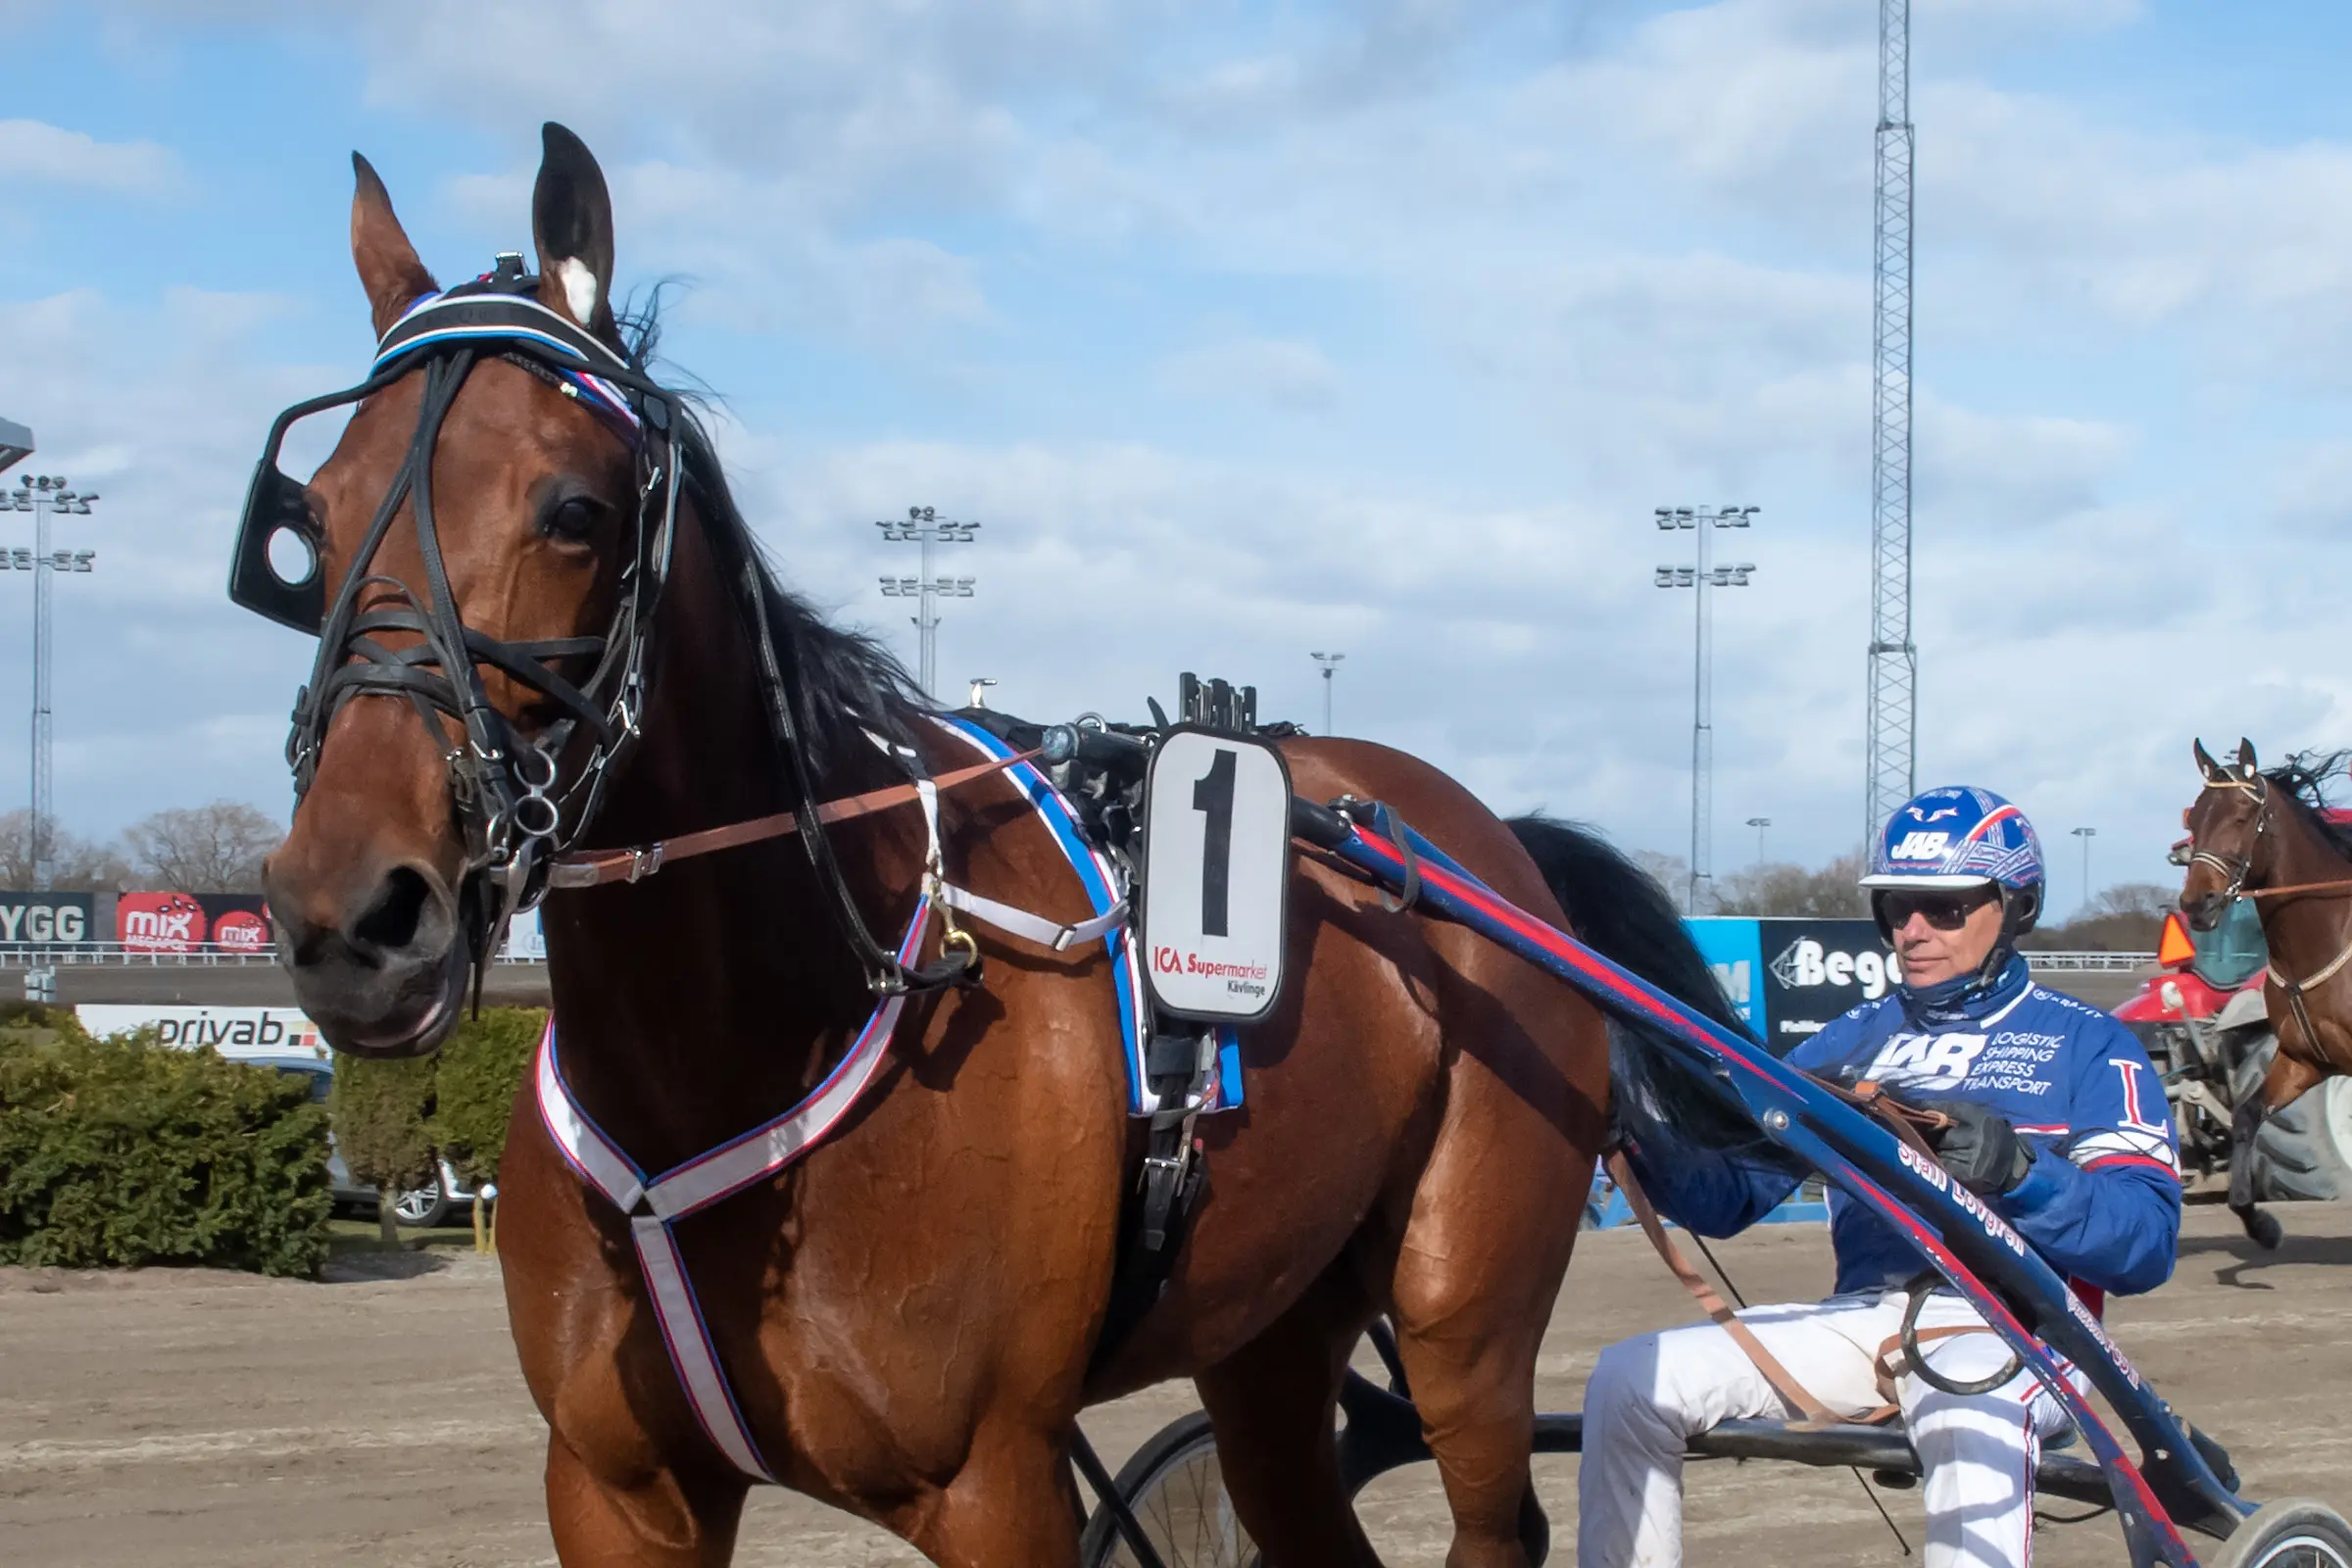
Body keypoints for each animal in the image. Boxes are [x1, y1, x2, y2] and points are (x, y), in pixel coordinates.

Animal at [248, 122, 1665, 1568]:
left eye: (575, 509)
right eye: (313, 517)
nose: (352, 915)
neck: (754, 1038)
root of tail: (1483, 842)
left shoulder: (997, 1484)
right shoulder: (612, 1486)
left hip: (1463, 1325)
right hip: (1272, 1324)